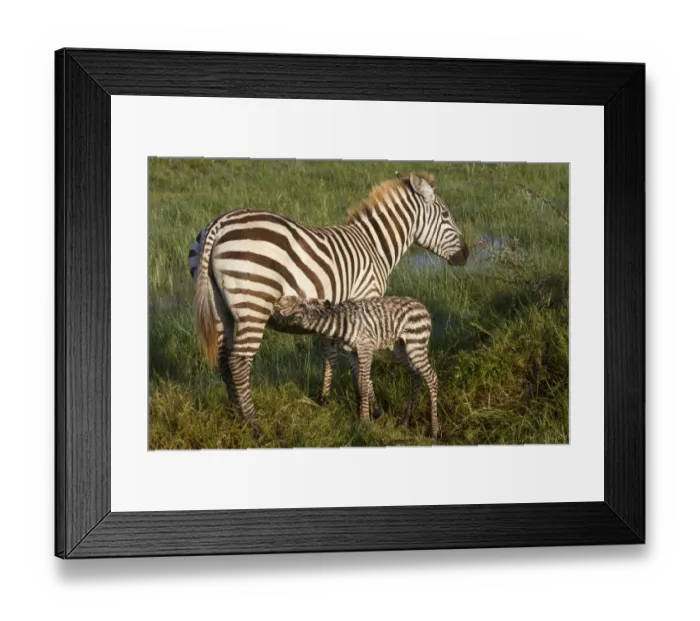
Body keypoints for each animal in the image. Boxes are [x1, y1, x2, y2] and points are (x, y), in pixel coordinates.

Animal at [272, 295, 440, 439]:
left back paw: (434, 431)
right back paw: (405, 423)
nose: (274, 302)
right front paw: (361, 418)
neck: (340, 324)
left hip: (415, 345)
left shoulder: (366, 349)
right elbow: (358, 385)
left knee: (432, 377)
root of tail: (422, 306)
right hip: (399, 350)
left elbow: (364, 385)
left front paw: (365, 421)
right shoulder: (352, 354)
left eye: (295, 303)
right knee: (416, 375)